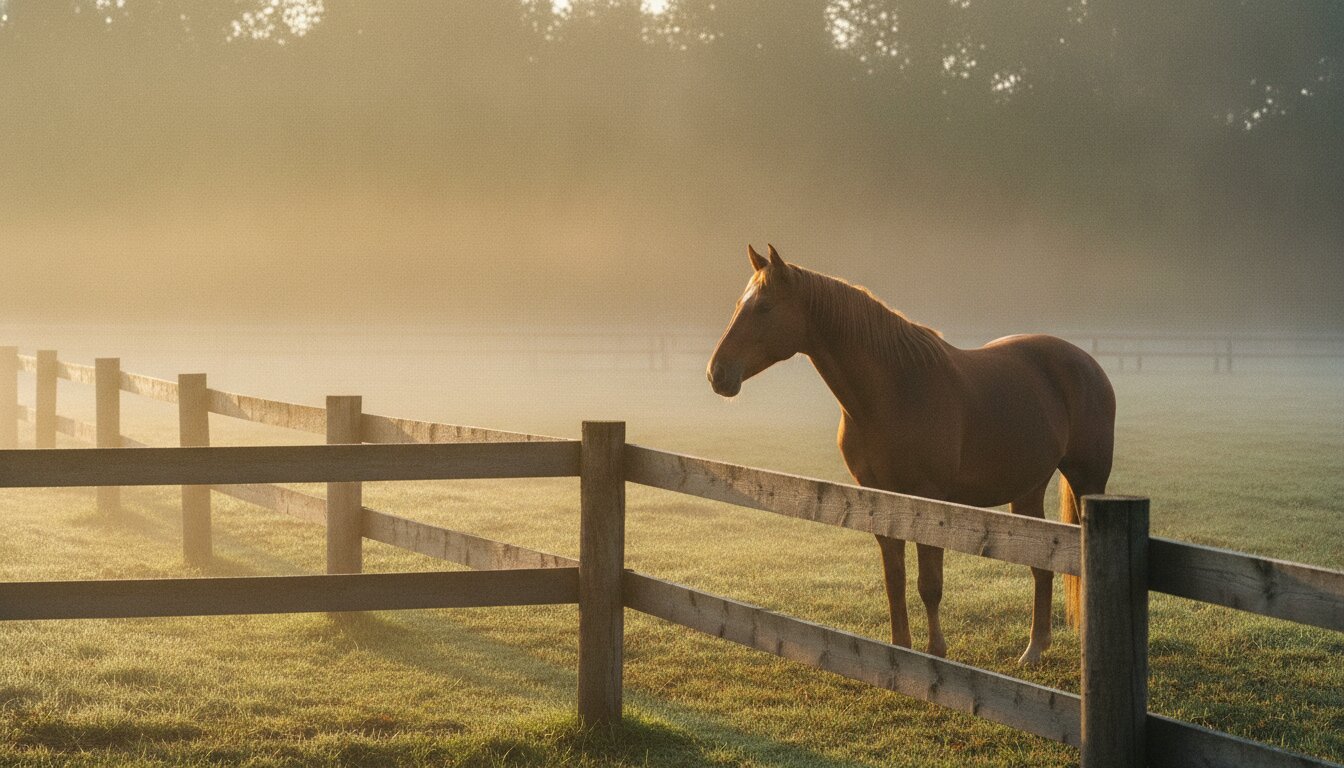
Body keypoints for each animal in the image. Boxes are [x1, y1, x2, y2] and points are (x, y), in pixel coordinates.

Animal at [706, 244, 1115, 665]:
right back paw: (1034, 648)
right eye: (740, 304)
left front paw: (935, 653)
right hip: (1029, 489)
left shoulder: (929, 499)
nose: (717, 374)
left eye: (764, 307)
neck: (895, 390)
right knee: (1041, 565)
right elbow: (895, 579)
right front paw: (901, 650)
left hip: (1087, 479)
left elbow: (929, 584)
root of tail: (1087, 362)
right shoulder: (879, 499)